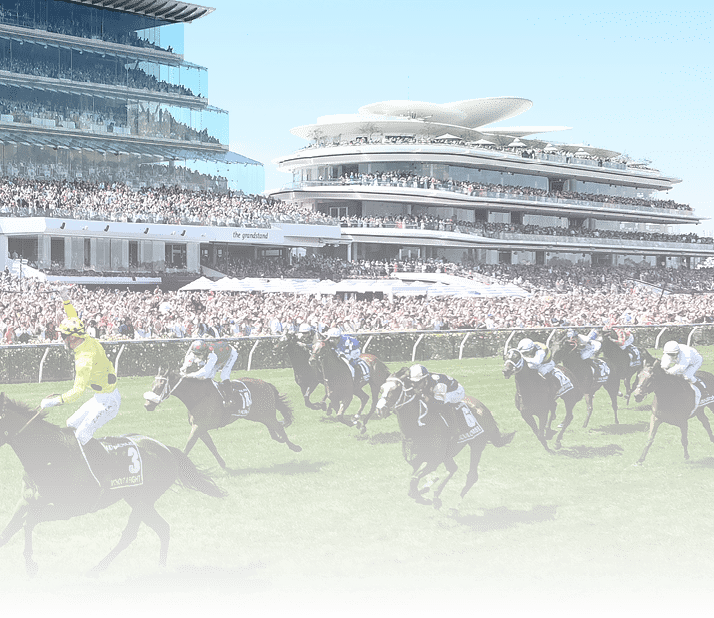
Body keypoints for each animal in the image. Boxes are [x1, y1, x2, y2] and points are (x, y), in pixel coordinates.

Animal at [0, 392, 225, 576]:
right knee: (163, 528)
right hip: (137, 499)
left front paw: (30, 565)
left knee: (130, 535)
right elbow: (8, 531)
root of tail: (167, 449)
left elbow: (29, 522)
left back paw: (97, 569)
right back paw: (160, 566)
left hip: (142, 501)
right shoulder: (26, 500)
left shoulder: (69, 508)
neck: (50, 456)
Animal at [145, 366, 300, 466]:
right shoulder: (201, 428)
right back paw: (281, 439)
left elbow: (188, 446)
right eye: (152, 384)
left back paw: (294, 446)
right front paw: (222, 464)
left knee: (279, 428)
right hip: (259, 414)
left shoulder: (198, 426)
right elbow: (211, 446)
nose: (147, 405)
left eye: (161, 385)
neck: (197, 397)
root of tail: (266, 383)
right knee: (274, 430)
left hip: (267, 414)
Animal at [376, 368, 516, 508]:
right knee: (453, 469)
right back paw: (436, 495)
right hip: (449, 452)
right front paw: (426, 490)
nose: (379, 409)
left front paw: (424, 496)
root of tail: (484, 408)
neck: (419, 426)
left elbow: (414, 482)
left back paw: (455, 502)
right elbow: (414, 483)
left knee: (472, 475)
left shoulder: (433, 461)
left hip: (477, 445)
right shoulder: (416, 460)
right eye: (381, 389)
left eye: (395, 389)